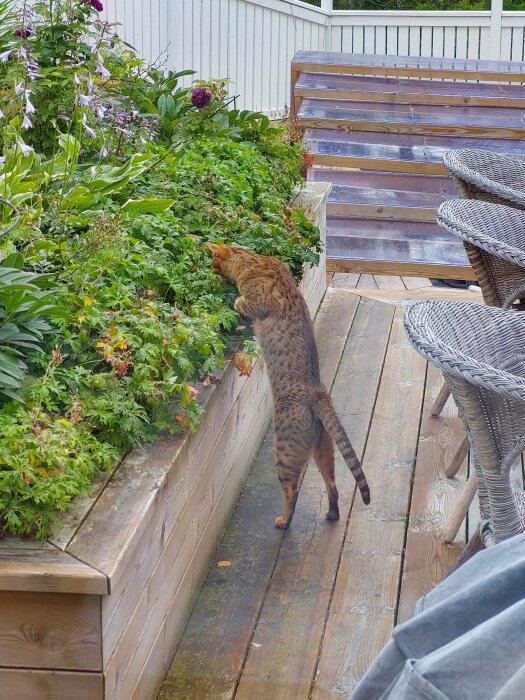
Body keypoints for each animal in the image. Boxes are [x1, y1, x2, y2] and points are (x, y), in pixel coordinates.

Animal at [205, 243, 368, 528]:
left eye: (215, 261)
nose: (211, 270)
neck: (253, 261)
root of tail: (318, 394)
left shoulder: (258, 301)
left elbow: (240, 302)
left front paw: (236, 302)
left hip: (285, 448)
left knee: (292, 490)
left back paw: (283, 520)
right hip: (323, 448)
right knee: (332, 483)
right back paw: (331, 514)